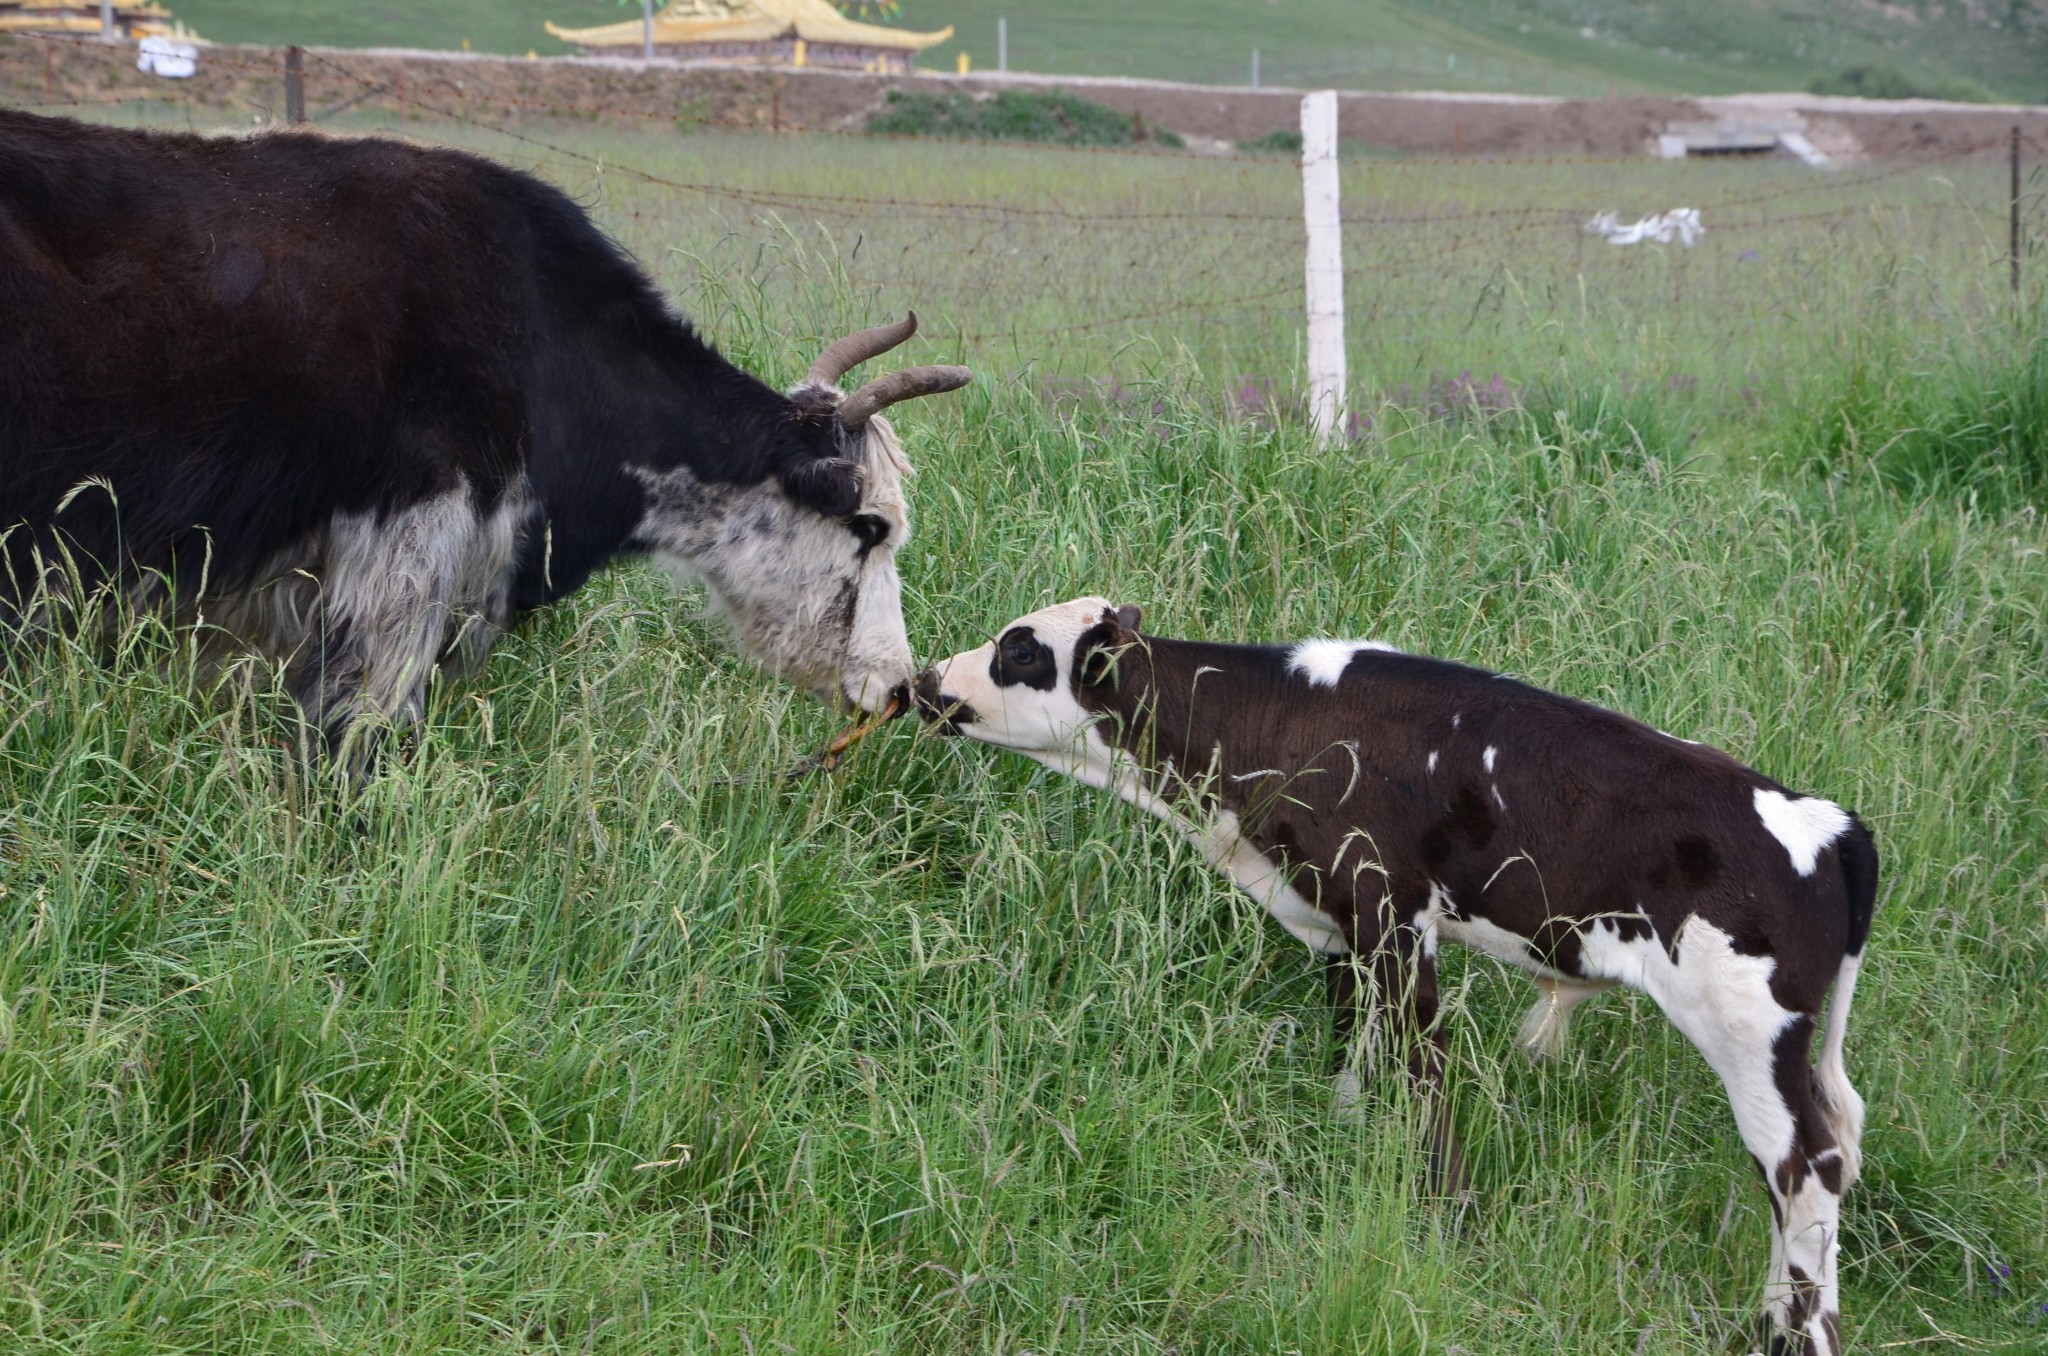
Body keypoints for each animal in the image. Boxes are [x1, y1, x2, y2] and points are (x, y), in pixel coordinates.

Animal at [921, 606, 1875, 1356]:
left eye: (1019, 650)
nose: (927, 680)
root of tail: (1833, 823)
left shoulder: (1396, 917)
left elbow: (1424, 1075)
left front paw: (1452, 1222)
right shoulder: (1343, 924)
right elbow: (1356, 1049)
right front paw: (1342, 1140)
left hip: (1752, 1035)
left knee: (1806, 1171)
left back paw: (1789, 1335)